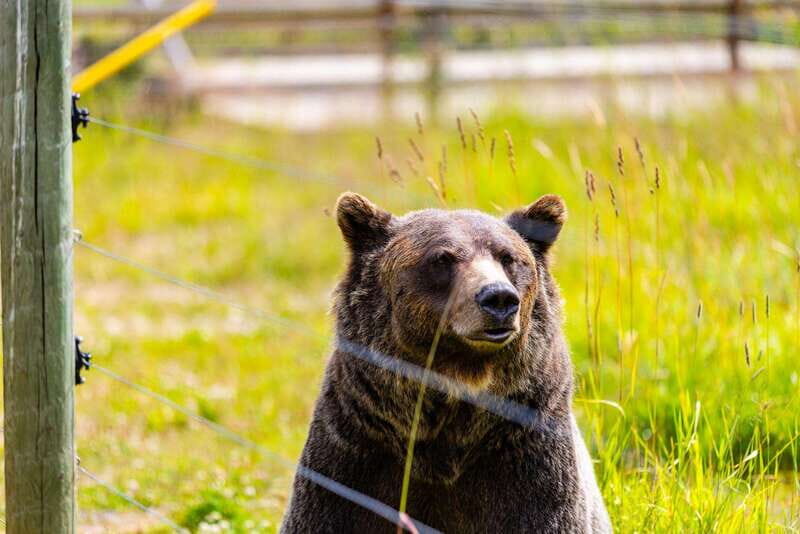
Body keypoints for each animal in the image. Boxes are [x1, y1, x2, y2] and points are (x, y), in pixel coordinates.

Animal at [281, 192, 611, 533]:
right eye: (442, 259)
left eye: (508, 258)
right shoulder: (355, 449)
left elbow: (546, 514)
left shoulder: (527, 446)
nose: (499, 298)